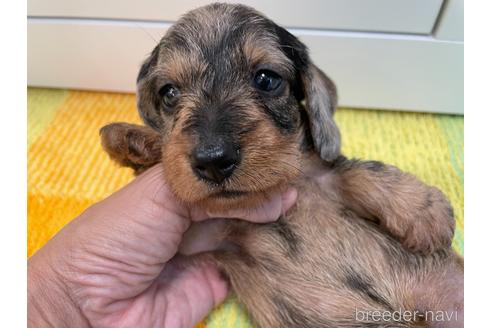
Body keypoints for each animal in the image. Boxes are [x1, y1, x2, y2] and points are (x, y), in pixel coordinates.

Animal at [99, 3, 462, 328]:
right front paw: (130, 139)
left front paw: (423, 210)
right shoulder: (205, 237)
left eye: (266, 79)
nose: (213, 160)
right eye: (169, 93)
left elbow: (358, 171)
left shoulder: (324, 174)